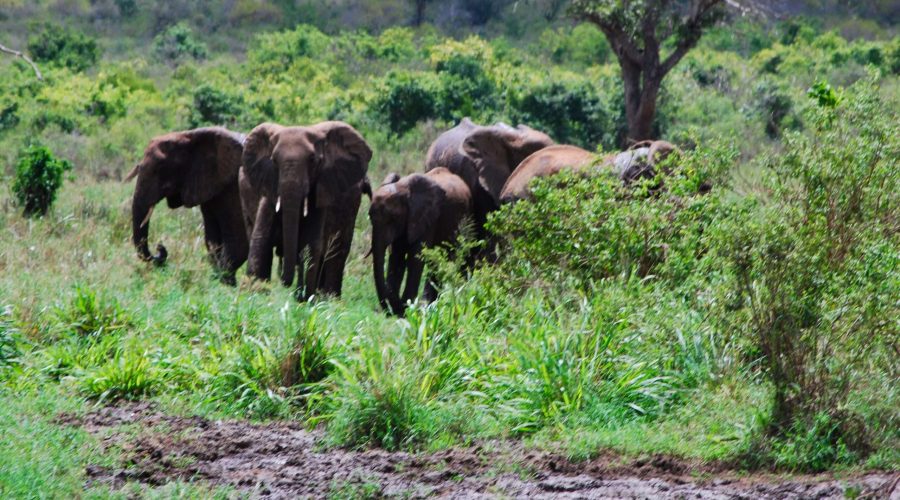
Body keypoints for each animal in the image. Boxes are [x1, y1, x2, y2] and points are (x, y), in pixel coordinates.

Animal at [125, 126, 248, 286]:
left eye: (161, 168)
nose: (160, 247)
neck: (190, 134)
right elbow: (212, 241)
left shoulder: (236, 188)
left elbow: (238, 242)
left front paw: (226, 285)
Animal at [239, 121, 372, 300]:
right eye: (273, 160)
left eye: (313, 160)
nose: (285, 283)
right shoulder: (269, 189)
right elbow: (261, 239)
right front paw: (255, 293)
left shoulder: (321, 192)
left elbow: (310, 244)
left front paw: (303, 299)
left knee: (337, 252)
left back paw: (330, 298)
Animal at [370, 168, 474, 316]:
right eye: (369, 216)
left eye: (393, 218)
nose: (390, 310)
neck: (403, 190)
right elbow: (397, 257)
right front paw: (399, 307)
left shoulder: (428, 217)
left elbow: (416, 258)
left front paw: (407, 308)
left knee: (440, 259)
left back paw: (428, 305)